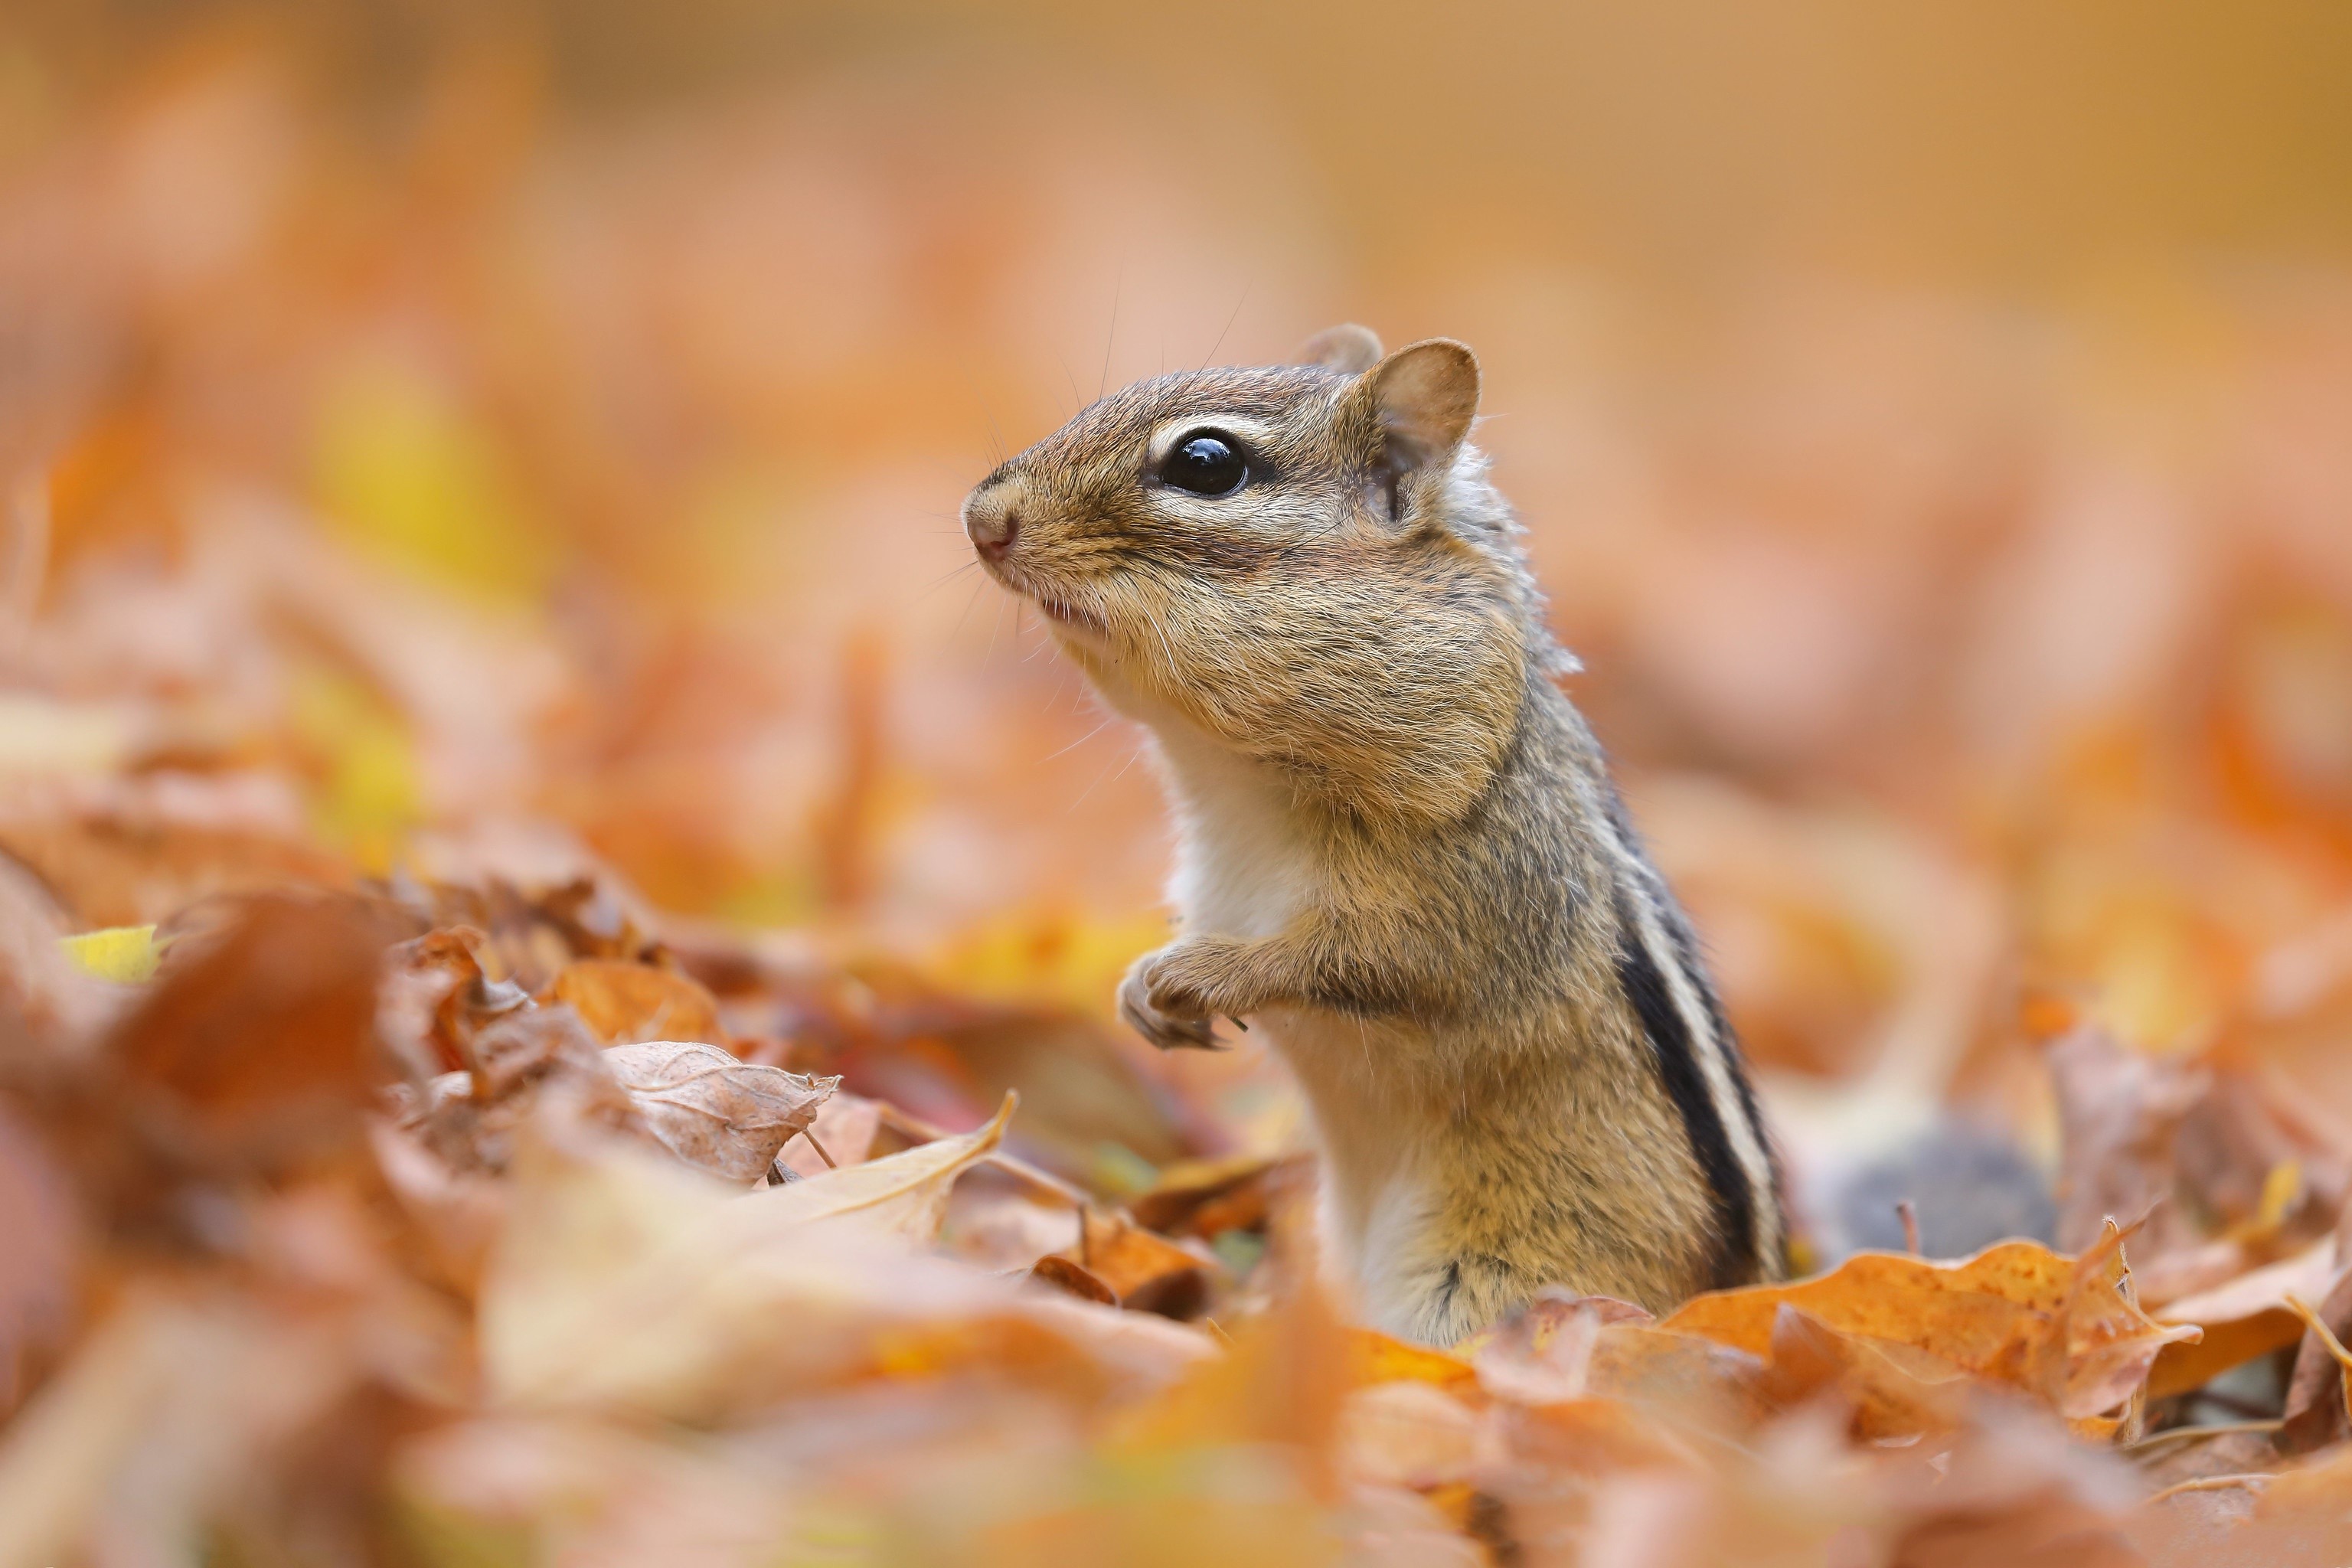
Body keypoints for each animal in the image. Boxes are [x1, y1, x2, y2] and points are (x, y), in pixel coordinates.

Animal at [961, 325, 1785, 1343]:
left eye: (1206, 463)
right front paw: (1138, 990)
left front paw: (1205, 972)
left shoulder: (1472, 895)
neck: (1232, 781)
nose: (982, 518)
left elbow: (1369, 961)